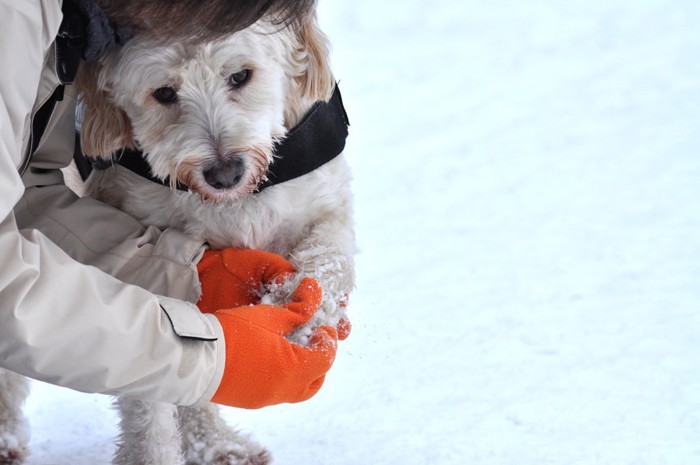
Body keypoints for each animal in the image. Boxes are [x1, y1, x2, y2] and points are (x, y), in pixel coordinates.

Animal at [75, 8, 356, 464]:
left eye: (240, 76)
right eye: (164, 93)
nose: (225, 173)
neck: (234, 203)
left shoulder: (326, 207)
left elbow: (327, 266)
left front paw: (299, 317)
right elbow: (149, 398)